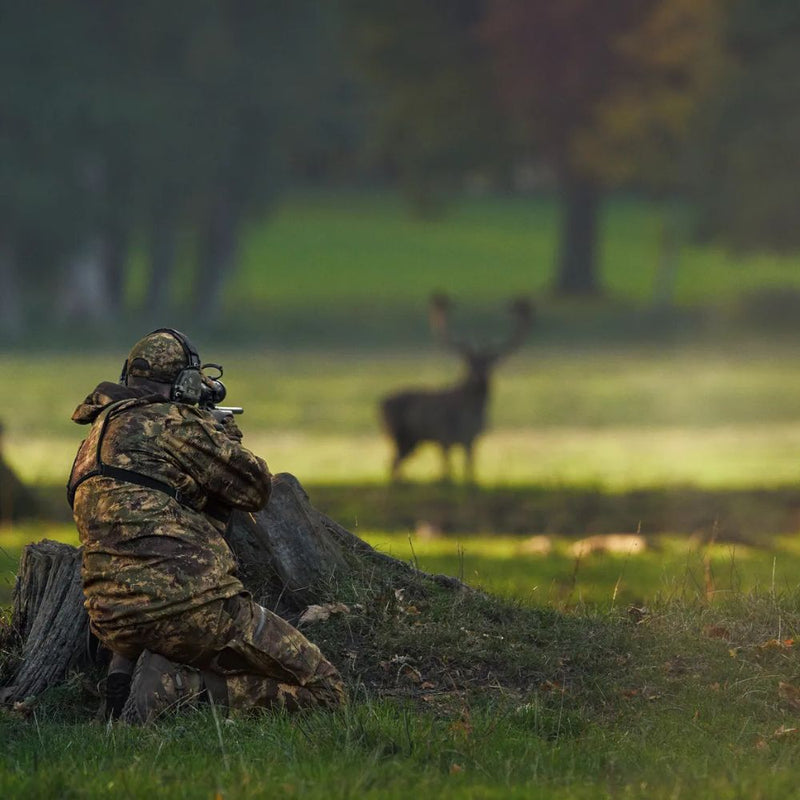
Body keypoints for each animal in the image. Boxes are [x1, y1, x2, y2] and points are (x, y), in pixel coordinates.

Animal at [380, 294, 533, 482]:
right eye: (468, 363)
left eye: (489, 364)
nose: (478, 379)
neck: (470, 413)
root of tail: (379, 403)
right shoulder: (444, 436)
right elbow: (448, 472)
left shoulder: (473, 439)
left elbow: (469, 471)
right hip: (399, 435)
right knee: (393, 463)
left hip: (411, 441)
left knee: (394, 463)